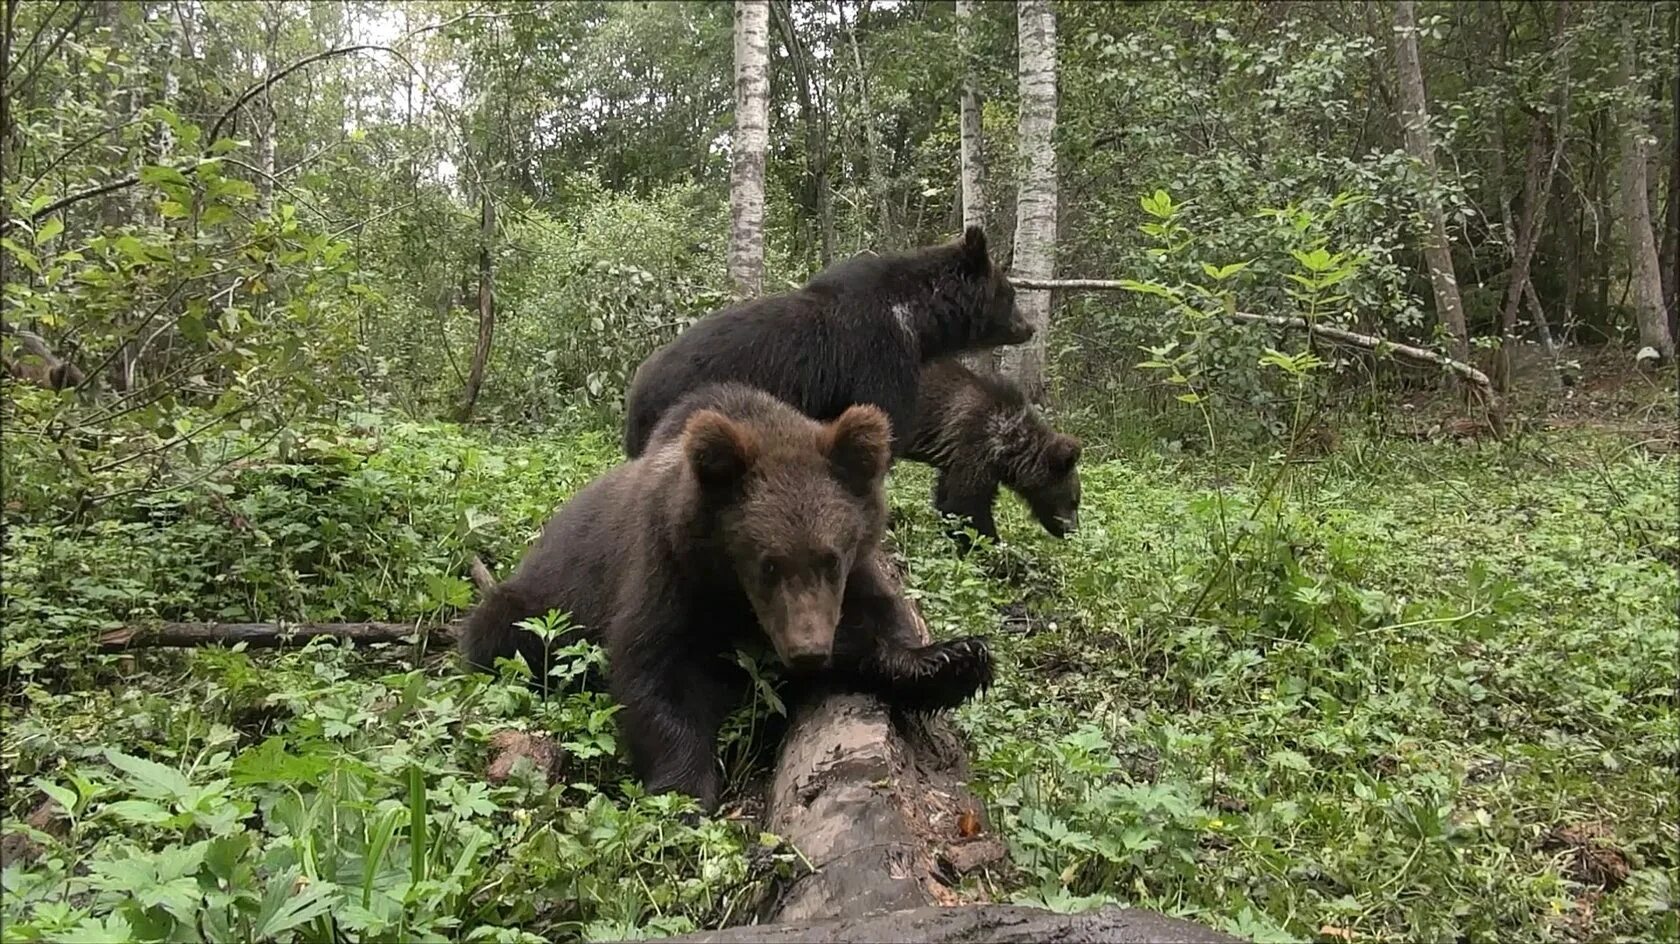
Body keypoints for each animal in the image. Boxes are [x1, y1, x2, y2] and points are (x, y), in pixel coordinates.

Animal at [453, 377, 987, 806]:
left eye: (831, 558)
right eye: (768, 563)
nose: (809, 651)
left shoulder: (852, 579)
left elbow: (882, 621)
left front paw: (952, 660)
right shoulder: (668, 572)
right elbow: (656, 673)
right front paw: (683, 790)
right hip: (536, 601)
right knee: (504, 632)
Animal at [621, 226, 1028, 456]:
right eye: (1010, 295)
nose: (1028, 327)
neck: (916, 319)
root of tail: (636, 387)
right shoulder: (878, 356)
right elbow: (884, 418)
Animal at [907, 357, 1088, 550]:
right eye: (1074, 500)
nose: (1072, 531)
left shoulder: (955, 460)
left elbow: (947, 503)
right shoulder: (975, 447)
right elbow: (967, 506)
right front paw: (994, 545)